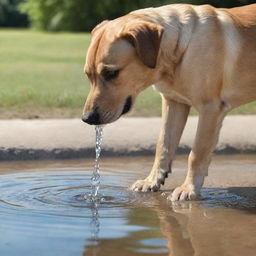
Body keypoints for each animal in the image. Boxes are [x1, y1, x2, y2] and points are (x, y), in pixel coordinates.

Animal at [81, 3, 256, 201]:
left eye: (111, 73)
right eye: (88, 75)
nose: (87, 118)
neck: (179, 51)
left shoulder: (210, 108)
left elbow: (197, 153)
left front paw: (189, 188)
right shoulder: (173, 103)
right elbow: (163, 145)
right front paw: (152, 181)